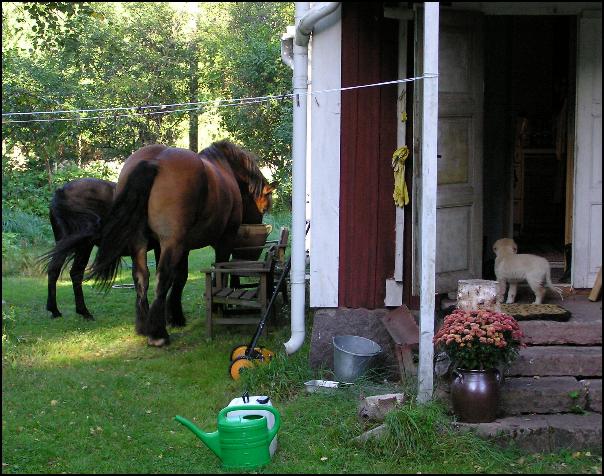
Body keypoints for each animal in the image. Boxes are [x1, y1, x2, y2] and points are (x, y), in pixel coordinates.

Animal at [88, 140, 276, 346]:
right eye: (264, 207)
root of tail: (154, 160)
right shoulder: (222, 242)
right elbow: (218, 273)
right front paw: (216, 309)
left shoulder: (173, 247)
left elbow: (181, 277)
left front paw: (174, 316)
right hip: (172, 243)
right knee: (162, 277)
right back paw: (158, 334)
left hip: (141, 242)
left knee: (141, 277)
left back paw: (144, 326)